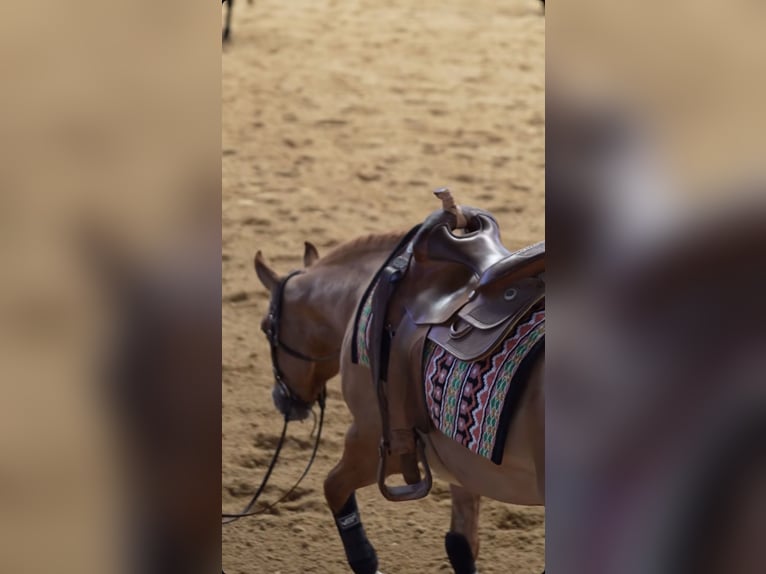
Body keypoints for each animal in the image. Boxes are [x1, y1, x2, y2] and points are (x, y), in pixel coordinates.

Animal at [254, 216, 545, 574]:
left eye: (267, 327)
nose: (281, 398)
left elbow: (333, 488)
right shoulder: (464, 467)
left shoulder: (371, 441)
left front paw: (365, 560)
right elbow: (461, 544)